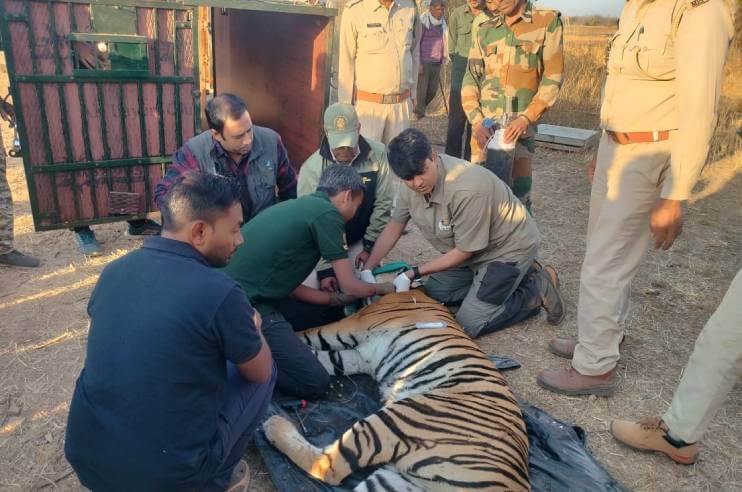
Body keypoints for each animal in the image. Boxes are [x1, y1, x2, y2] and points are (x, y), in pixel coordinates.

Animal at [264, 290, 532, 490]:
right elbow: (318, 358)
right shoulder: (356, 355)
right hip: (398, 482)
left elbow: (307, 335)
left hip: (404, 415)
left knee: (329, 468)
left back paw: (273, 424)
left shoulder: (350, 325)